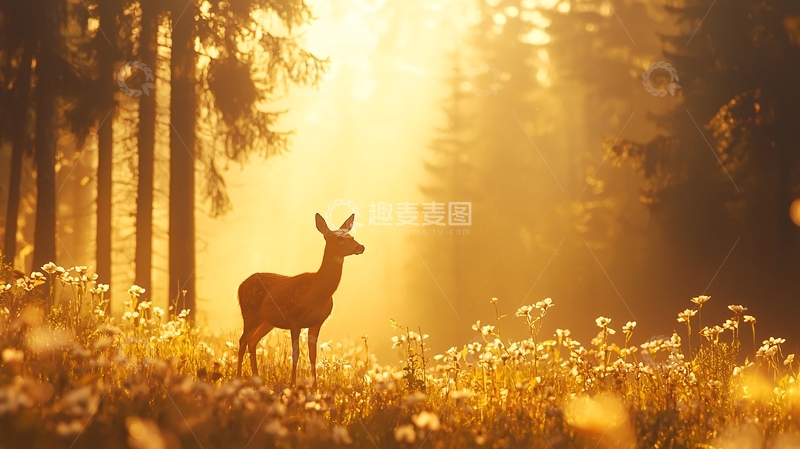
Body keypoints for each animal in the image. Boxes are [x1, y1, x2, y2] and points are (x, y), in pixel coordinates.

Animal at [236, 213, 365, 387]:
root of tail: (240, 286)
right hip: (250, 313)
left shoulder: (317, 322)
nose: (361, 247)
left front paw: (314, 387)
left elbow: (312, 356)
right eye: (339, 238)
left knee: (252, 341)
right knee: (242, 340)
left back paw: (257, 380)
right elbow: (296, 353)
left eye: (352, 236)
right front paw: (292, 385)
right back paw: (237, 379)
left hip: (266, 321)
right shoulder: (294, 319)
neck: (317, 293)